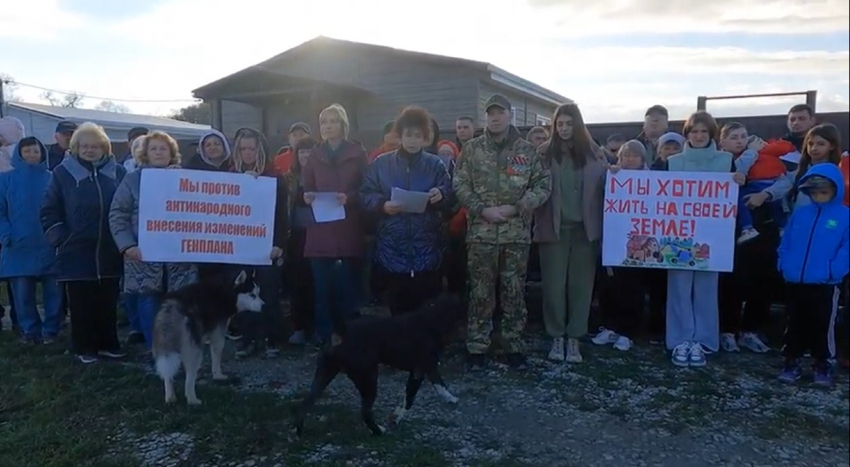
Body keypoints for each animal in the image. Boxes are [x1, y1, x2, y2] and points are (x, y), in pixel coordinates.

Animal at [151, 270, 260, 406]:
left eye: (258, 293)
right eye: (252, 295)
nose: (263, 305)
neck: (227, 291)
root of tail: (171, 310)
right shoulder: (218, 334)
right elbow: (217, 356)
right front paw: (218, 375)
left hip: (164, 348)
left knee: (168, 374)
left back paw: (170, 398)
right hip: (194, 351)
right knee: (189, 378)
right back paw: (192, 399)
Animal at [294, 294, 464, 436]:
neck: (429, 319)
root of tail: (342, 332)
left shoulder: (424, 370)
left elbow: (435, 386)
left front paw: (450, 398)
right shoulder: (420, 370)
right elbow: (410, 399)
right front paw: (396, 418)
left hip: (324, 374)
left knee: (305, 403)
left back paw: (298, 432)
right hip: (368, 379)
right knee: (365, 412)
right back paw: (378, 431)